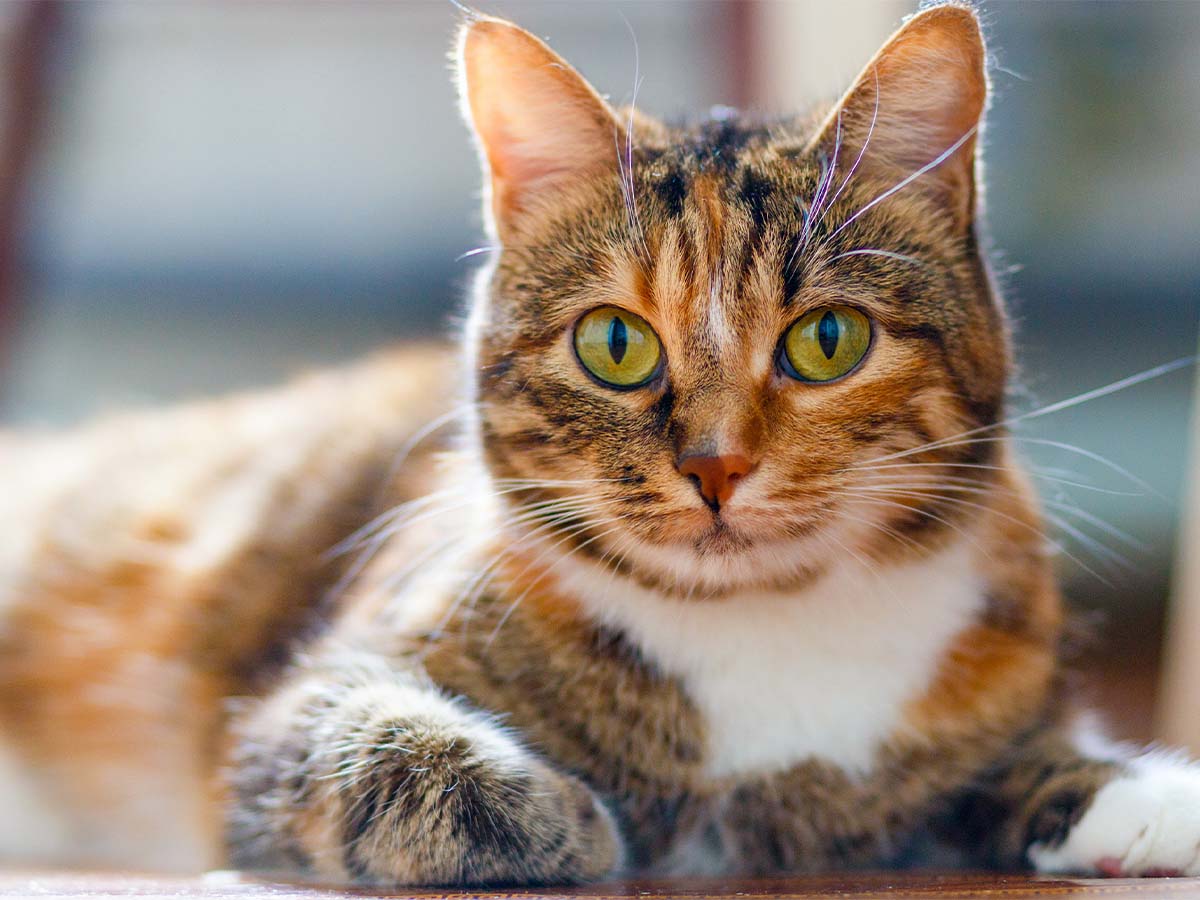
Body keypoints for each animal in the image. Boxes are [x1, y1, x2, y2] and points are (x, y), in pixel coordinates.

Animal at [2, 0, 1200, 888]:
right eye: (616, 344)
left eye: (827, 340)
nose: (715, 466)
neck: (761, 634)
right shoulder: (292, 711)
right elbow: (384, 747)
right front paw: (574, 819)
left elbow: (1006, 757)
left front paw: (1123, 787)